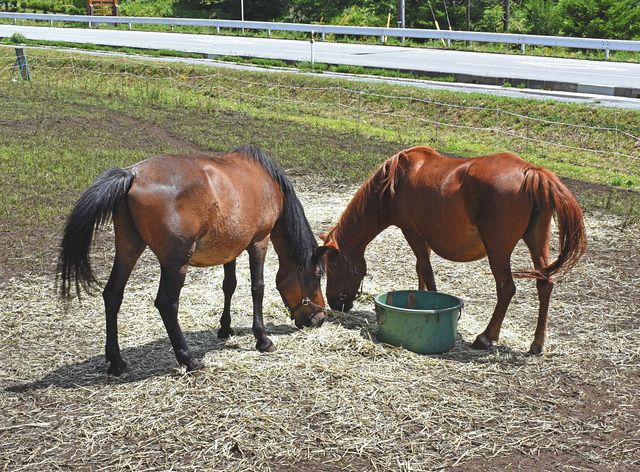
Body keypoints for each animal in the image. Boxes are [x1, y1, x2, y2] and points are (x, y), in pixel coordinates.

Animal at [58, 146, 324, 374]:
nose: (320, 319)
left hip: (128, 248)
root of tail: (132, 175)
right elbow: (257, 288)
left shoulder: (230, 248)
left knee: (113, 294)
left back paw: (116, 361)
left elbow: (229, 286)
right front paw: (263, 339)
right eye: (317, 275)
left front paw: (225, 328)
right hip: (175, 263)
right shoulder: (259, 242)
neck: (268, 183)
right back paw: (187, 358)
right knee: (166, 303)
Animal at [322, 147, 588, 354]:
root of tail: (531, 171)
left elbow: (426, 271)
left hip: (498, 249)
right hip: (537, 241)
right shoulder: (424, 238)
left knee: (506, 288)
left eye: (331, 267)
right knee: (545, 284)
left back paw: (486, 337)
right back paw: (537, 343)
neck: (395, 182)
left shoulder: (413, 233)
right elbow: (420, 271)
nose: (335, 303)